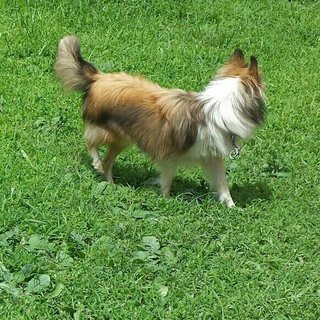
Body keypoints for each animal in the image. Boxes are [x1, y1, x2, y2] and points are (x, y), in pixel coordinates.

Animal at [54, 35, 264, 208]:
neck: (218, 109)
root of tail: (97, 77)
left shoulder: (212, 157)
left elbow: (223, 184)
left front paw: (232, 207)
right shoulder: (170, 153)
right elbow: (167, 180)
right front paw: (165, 200)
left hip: (121, 139)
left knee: (107, 162)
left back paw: (112, 185)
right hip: (109, 131)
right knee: (90, 142)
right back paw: (96, 163)